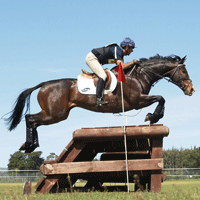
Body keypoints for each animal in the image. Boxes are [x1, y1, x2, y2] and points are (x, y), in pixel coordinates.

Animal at [5, 54, 195, 152]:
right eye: (184, 71)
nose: (191, 89)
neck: (140, 75)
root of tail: (43, 84)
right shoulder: (137, 101)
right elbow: (161, 98)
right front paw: (153, 117)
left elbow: (161, 98)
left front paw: (153, 116)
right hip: (55, 114)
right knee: (30, 119)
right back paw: (30, 145)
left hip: (55, 114)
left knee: (32, 120)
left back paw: (30, 145)